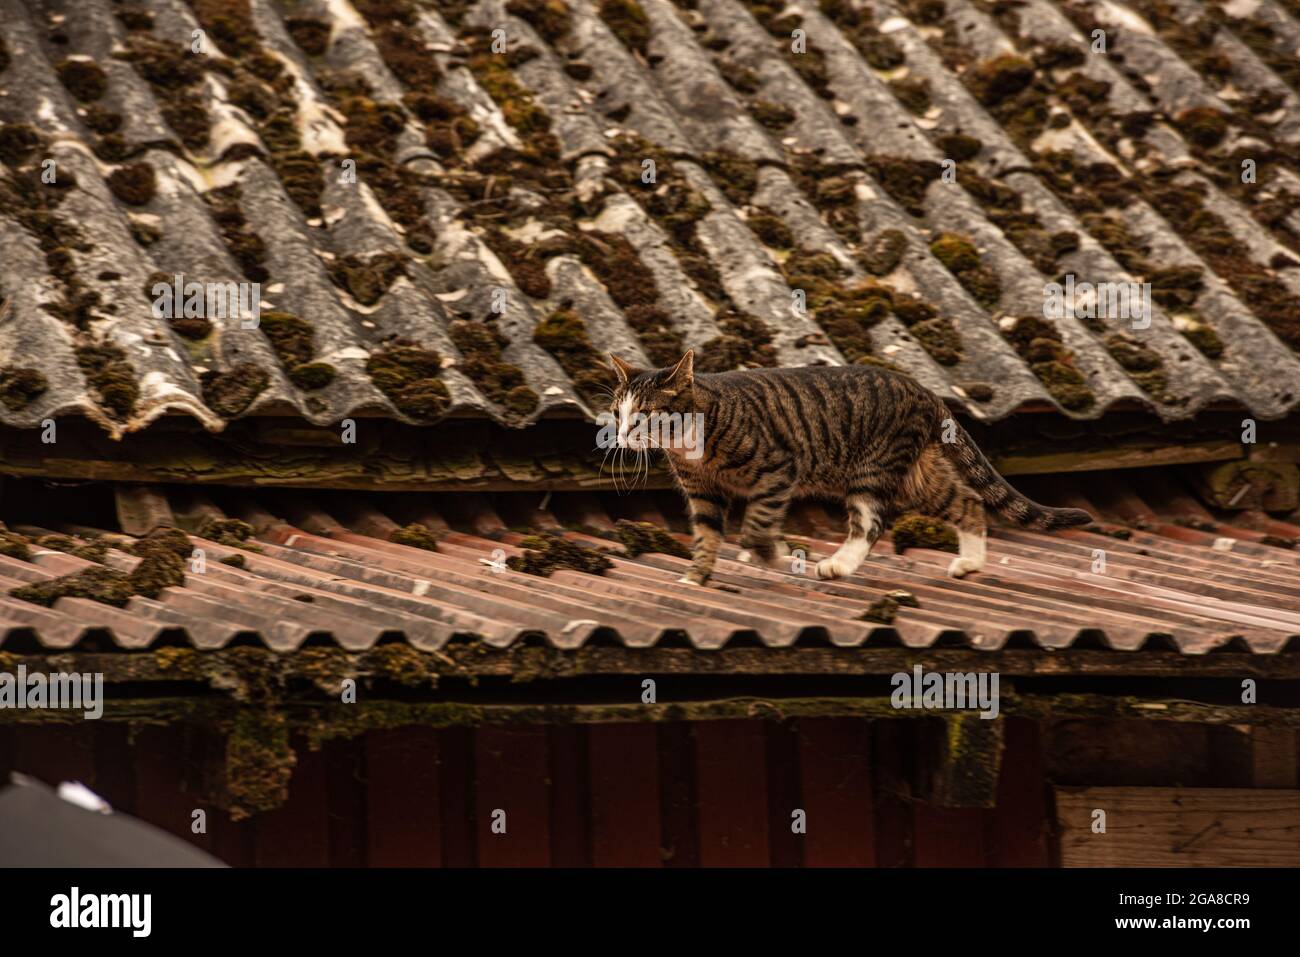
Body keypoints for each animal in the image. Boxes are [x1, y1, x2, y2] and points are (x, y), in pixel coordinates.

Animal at [603, 351, 1092, 587]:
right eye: (617, 412)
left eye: (643, 415)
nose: (623, 435)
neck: (690, 445)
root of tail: (925, 391)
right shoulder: (703, 493)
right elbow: (706, 537)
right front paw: (697, 576)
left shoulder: (779, 469)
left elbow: (756, 528)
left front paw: (773, 555)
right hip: (918, 477)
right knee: (967, 500)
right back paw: (970, 562)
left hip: (875, 467)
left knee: (870, 524)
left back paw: (838, 565)